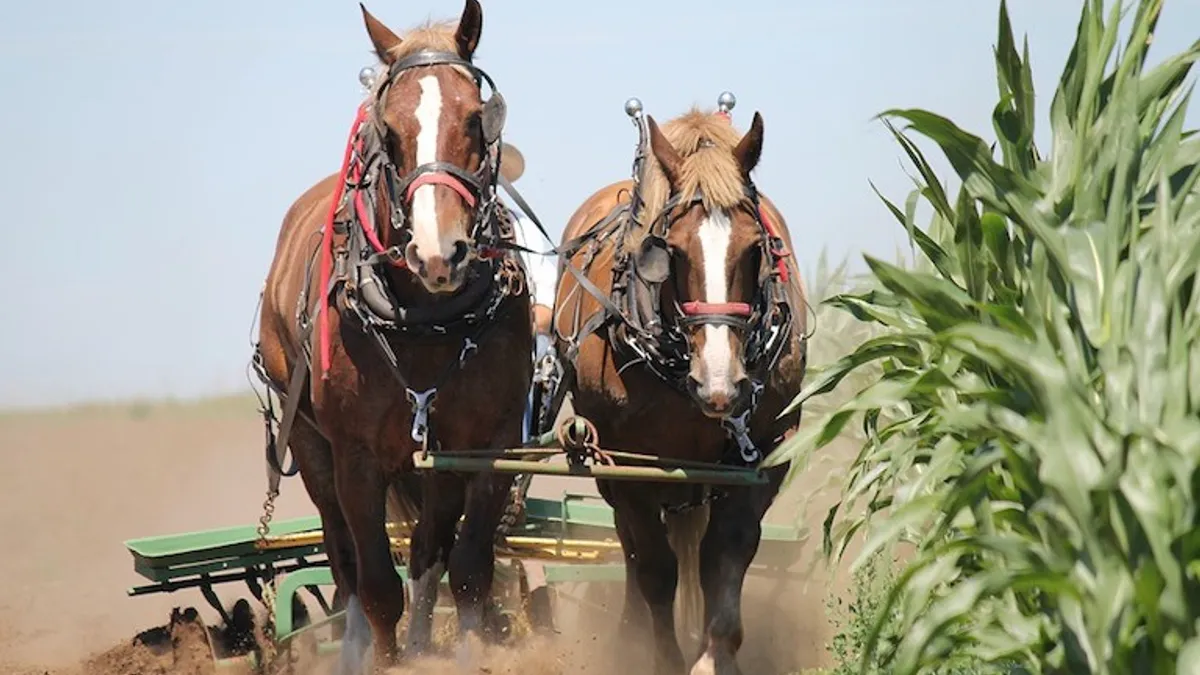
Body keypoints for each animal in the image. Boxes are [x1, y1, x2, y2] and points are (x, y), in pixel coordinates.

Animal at [254, 2, 534, 672]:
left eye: (476, 117)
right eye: (388, 128)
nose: (439, 254)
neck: (427, 319)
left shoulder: (486, 445)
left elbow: (468, 570)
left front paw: (465, 652)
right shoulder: (355, 457)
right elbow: (379, 586)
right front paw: (384, 655)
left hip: (434, 459)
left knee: (429, 553)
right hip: (309, 440)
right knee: (346, 561)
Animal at [552, 106, 809, 675]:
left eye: (755, 247)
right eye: (670, 250)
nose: (719, 384)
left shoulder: (764, 456)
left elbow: (725, 555)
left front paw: (715, 655)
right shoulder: (628, 464)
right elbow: (655, 568)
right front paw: (661, 655)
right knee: (632, 550)